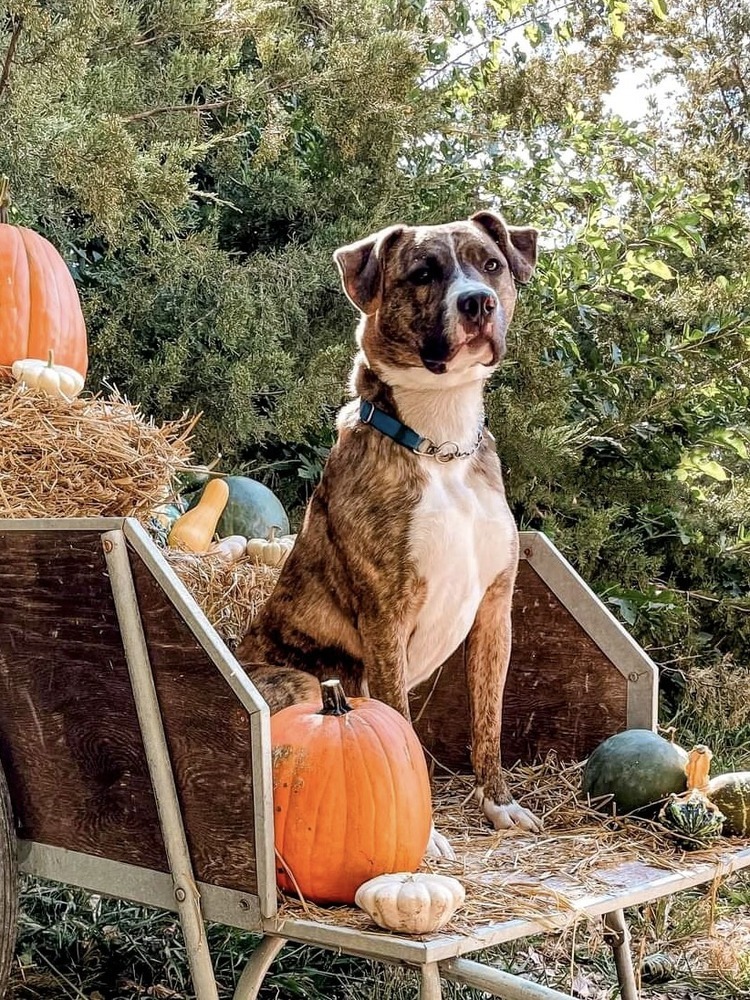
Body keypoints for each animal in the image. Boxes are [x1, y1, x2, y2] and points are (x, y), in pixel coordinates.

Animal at [239, 207, 540, 848]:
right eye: (423, 273)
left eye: (491, 265)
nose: (477, 303)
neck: (439, 446)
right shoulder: (385, 618)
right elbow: (400, 731)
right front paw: (423, 838)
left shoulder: (494, 614)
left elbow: (488, 722)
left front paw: (499, 803)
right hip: (300, 683)